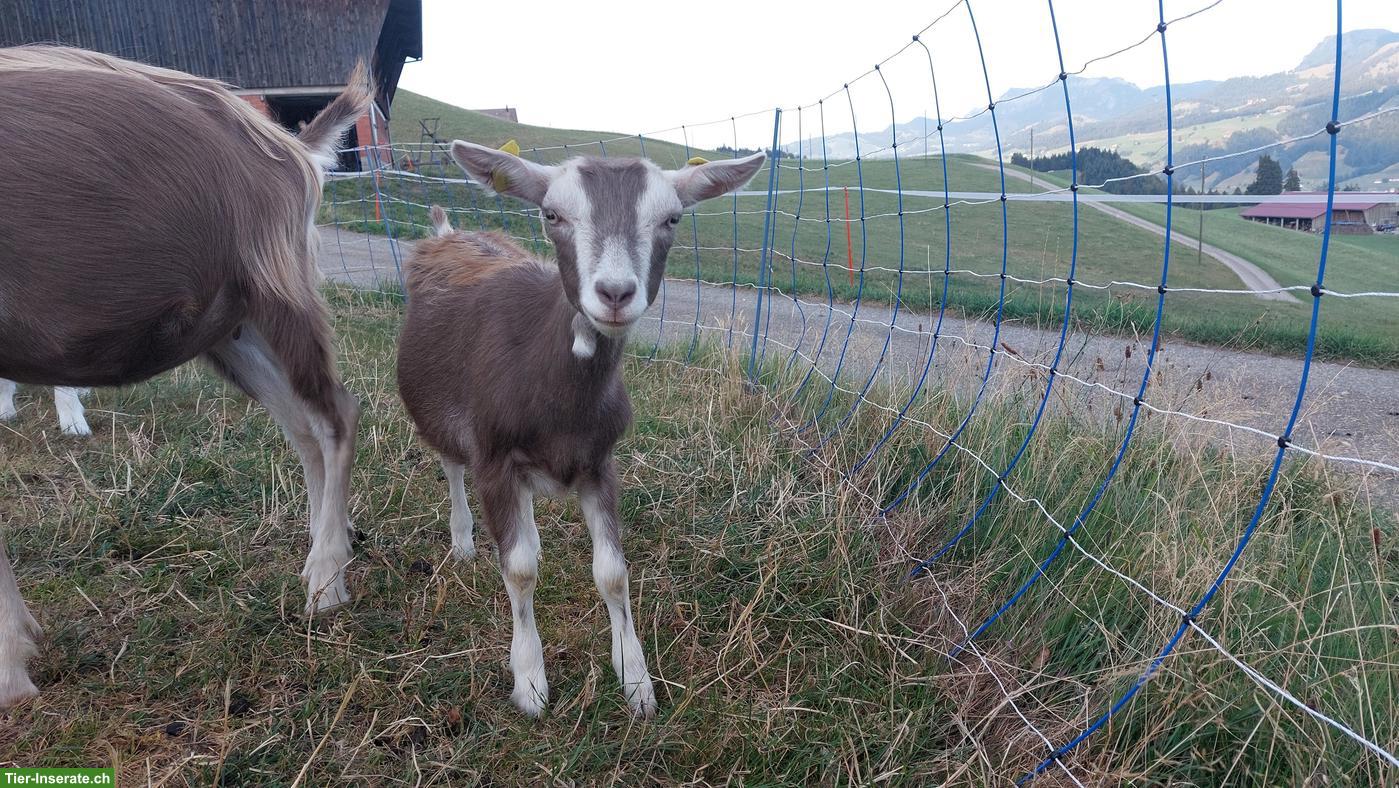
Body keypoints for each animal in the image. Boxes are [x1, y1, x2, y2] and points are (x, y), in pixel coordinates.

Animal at [0, 46, 370, 708]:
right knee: (303, 427)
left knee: (336, 415)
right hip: (229, 326)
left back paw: (326, 580)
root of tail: (289, 146)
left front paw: (11, 671)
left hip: (274, 288)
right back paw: (325, 546)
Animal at [397, 143, 765, 717]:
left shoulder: (599, 461)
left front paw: (636, 682)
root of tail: (446, 232)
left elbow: (612, 571)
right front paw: (529, 683)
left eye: (672, 218)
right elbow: (519, 570)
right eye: (552, 215)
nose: (614, 292)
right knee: (451, 467)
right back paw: (463, 543)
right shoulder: (494, 457)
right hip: (442, 419)